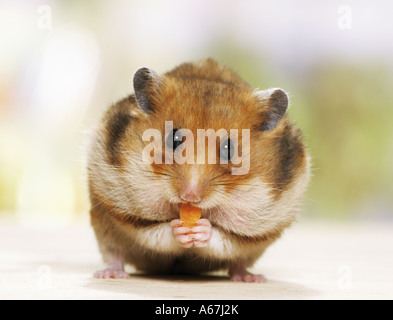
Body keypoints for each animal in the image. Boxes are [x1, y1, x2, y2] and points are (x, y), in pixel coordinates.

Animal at [86, 58, 310, 282]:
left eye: (229, 148)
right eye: (173, 139)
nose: (190, 196)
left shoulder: (257, 230)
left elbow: (224, 239)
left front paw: (201, 229)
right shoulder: (126, 214)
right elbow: (156, 231)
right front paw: (181, 229)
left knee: (238, 263)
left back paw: (251, 278)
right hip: (104, 228)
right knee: (114, 254)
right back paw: (109, 275)